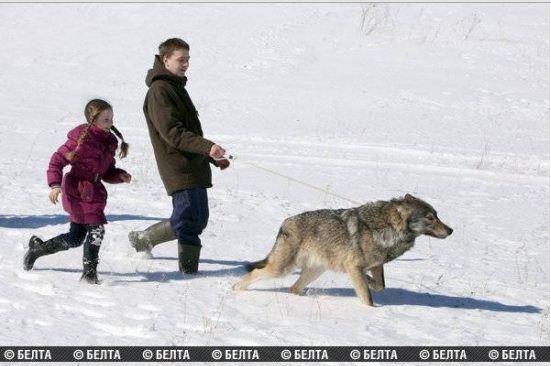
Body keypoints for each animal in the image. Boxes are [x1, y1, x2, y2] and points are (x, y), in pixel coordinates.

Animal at [233, 194, 452, 306]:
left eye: (437, 215)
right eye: (430, 218)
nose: (451, 230)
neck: (387, 226)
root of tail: (284, 223)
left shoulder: (376, 265)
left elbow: (380, 285)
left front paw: (370, 281)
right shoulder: (354, 266)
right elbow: (367, 296)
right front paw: (373, 310)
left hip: (315, 271)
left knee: (293, 288)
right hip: (281, 269)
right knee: (255, 272)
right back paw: (235, 289)